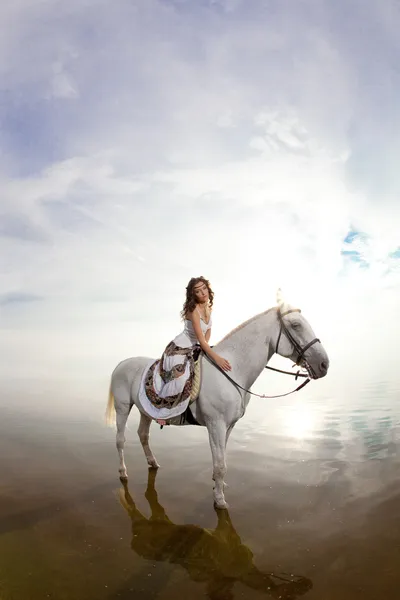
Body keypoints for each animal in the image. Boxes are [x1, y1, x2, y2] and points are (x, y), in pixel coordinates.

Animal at [105, 292, 328, 508]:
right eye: (296, 325)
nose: (324, 364)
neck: (232, 370)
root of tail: (121, 364)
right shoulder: (216, 424)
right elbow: (220, 464)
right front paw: (219, 500)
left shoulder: (227, 426)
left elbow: (221, 459)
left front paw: (218, 486)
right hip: (123, 408)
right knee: (120, 440)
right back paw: (123, 472)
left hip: (145, 411)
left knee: (143, 435)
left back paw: (152, 462)